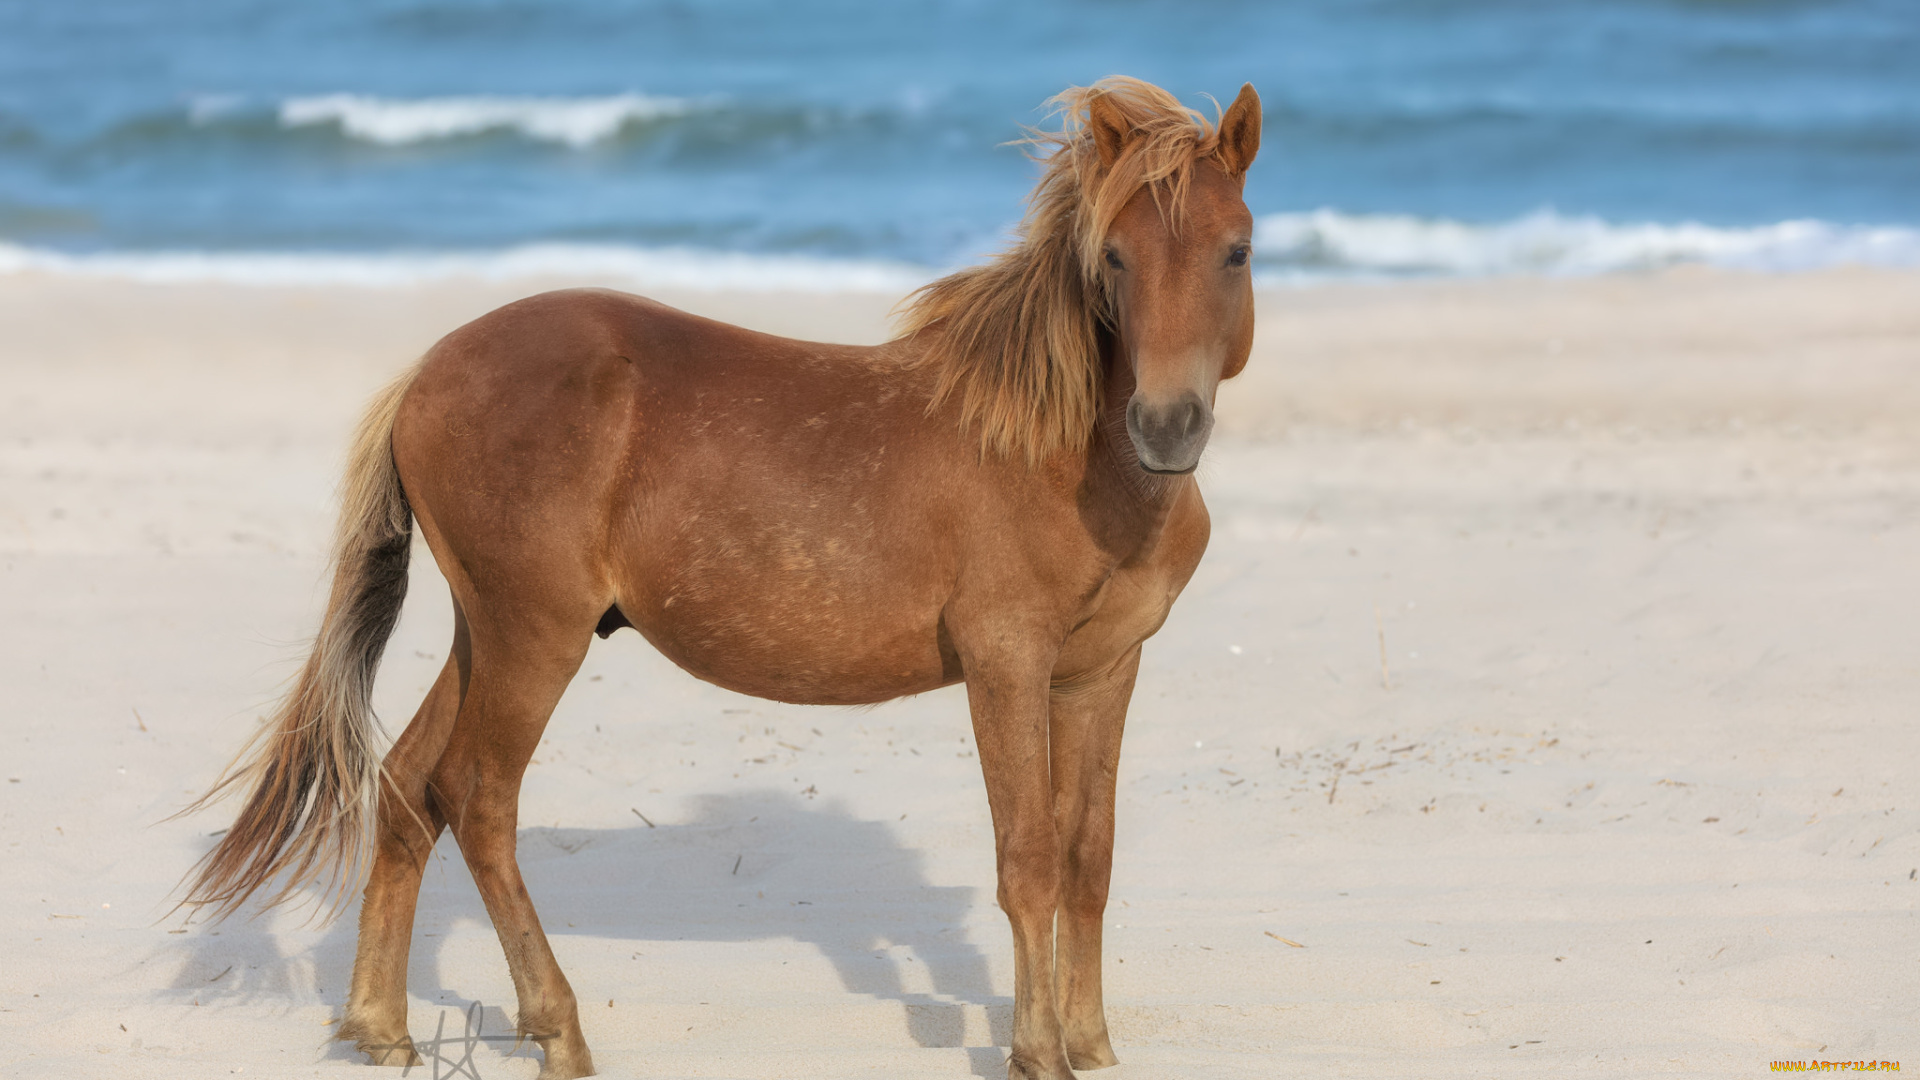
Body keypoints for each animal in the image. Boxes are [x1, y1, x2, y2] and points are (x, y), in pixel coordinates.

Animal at [180, 75, 1262, 1080]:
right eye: (1114, 257)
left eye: (1237, 250)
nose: (1166, 427)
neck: (1065, 456)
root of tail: (428, 372)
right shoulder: (1007, 664)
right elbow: (1029, 858)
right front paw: (1038, 1050)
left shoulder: (1100, 673)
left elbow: (1089, 857)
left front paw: (1093, 1041)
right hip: (535, 639)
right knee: (478, 799)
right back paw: (557, 1028)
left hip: (483, 632)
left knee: (408, 790)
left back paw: (382, 1028)